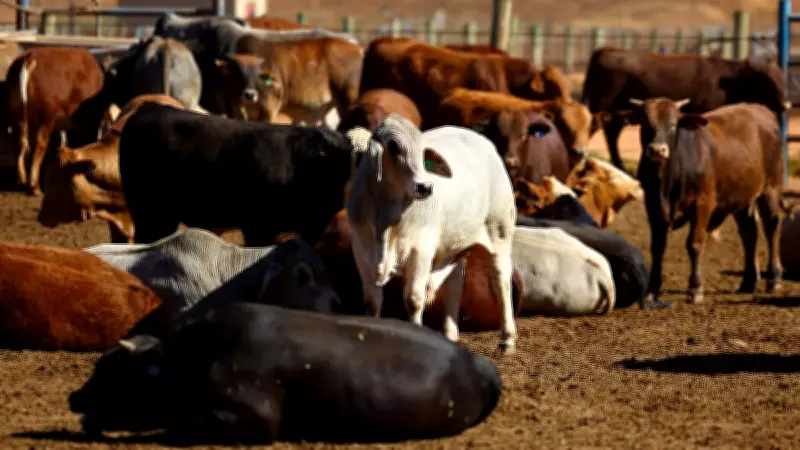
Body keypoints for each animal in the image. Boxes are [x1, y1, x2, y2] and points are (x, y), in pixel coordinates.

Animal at [6, 47, 105, 195]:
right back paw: (34, 186)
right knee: (39, 144)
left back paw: (21, 179)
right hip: (45, 117)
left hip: (17, 114)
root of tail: (29, 57)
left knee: (19, 143)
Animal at [345, 117, 518, 353]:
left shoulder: (421, 250)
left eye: (422, 151)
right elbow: (371, 303)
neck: (386, 219)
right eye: (394, 148)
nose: (425, 187)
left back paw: (507, 339)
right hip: (454, 245)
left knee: (501, 280)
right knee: (455, 283)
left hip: (499, 233)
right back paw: (450, 333)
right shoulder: (361, 250)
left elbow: (414, 299)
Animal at [582, 47, 790, 169]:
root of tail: (606, 51)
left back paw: (619, 165)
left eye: (782, 77)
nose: (786, 105)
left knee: (612, 133)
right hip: (601, 105)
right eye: (766, 80)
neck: (731, 81)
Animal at [632, 98, 788, 304]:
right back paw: (748, 282)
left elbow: (694, 244)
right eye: (645, 123)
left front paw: (695, 289)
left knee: (771, 228)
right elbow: (657, 247)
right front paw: (651, 290)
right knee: (749, 233)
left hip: (770, 188)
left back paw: (774, 279)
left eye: (673, 124)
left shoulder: (702, 204)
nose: (658, 150)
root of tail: (761, 110)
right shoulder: (653, 206)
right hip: (741, 197)